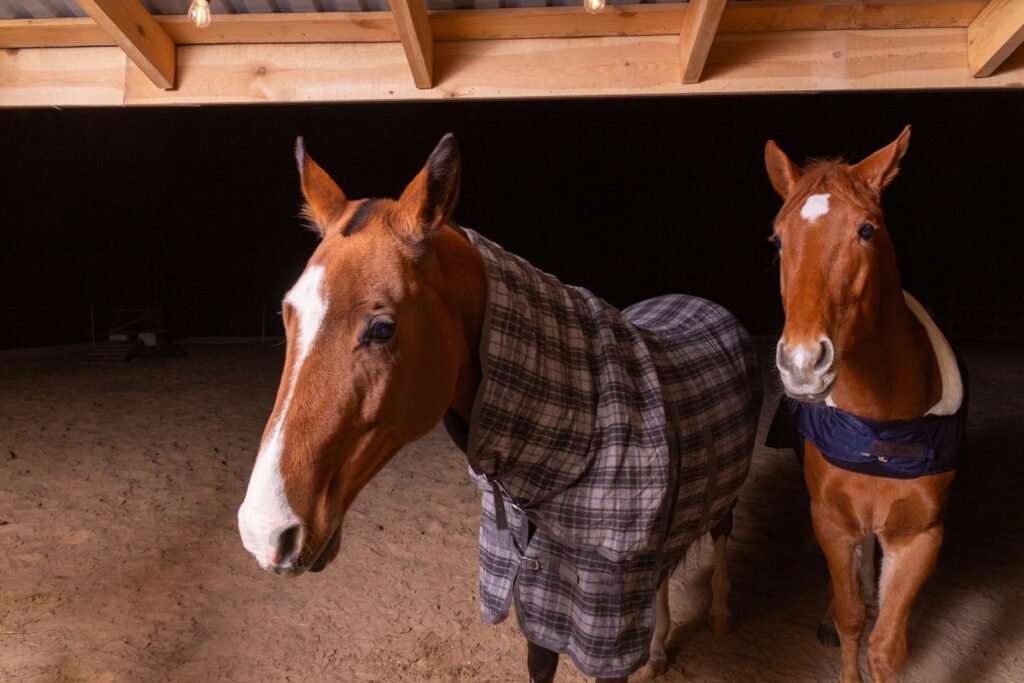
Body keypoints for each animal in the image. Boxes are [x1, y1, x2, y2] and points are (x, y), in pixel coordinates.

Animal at [238, 133, 762, 682]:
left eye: (382, 328)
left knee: (721, 531)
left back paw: (719, 613)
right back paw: (658, 649)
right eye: (287, 313)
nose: (264, 530)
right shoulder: (538, 598)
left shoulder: (604, 624)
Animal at [764, 126, 966, 683]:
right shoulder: (832, 521)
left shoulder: (918, 538)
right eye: (777, 239)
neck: (881, 433)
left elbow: (885, 647)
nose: (802, 363)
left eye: (866, 231)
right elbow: (850, 617)